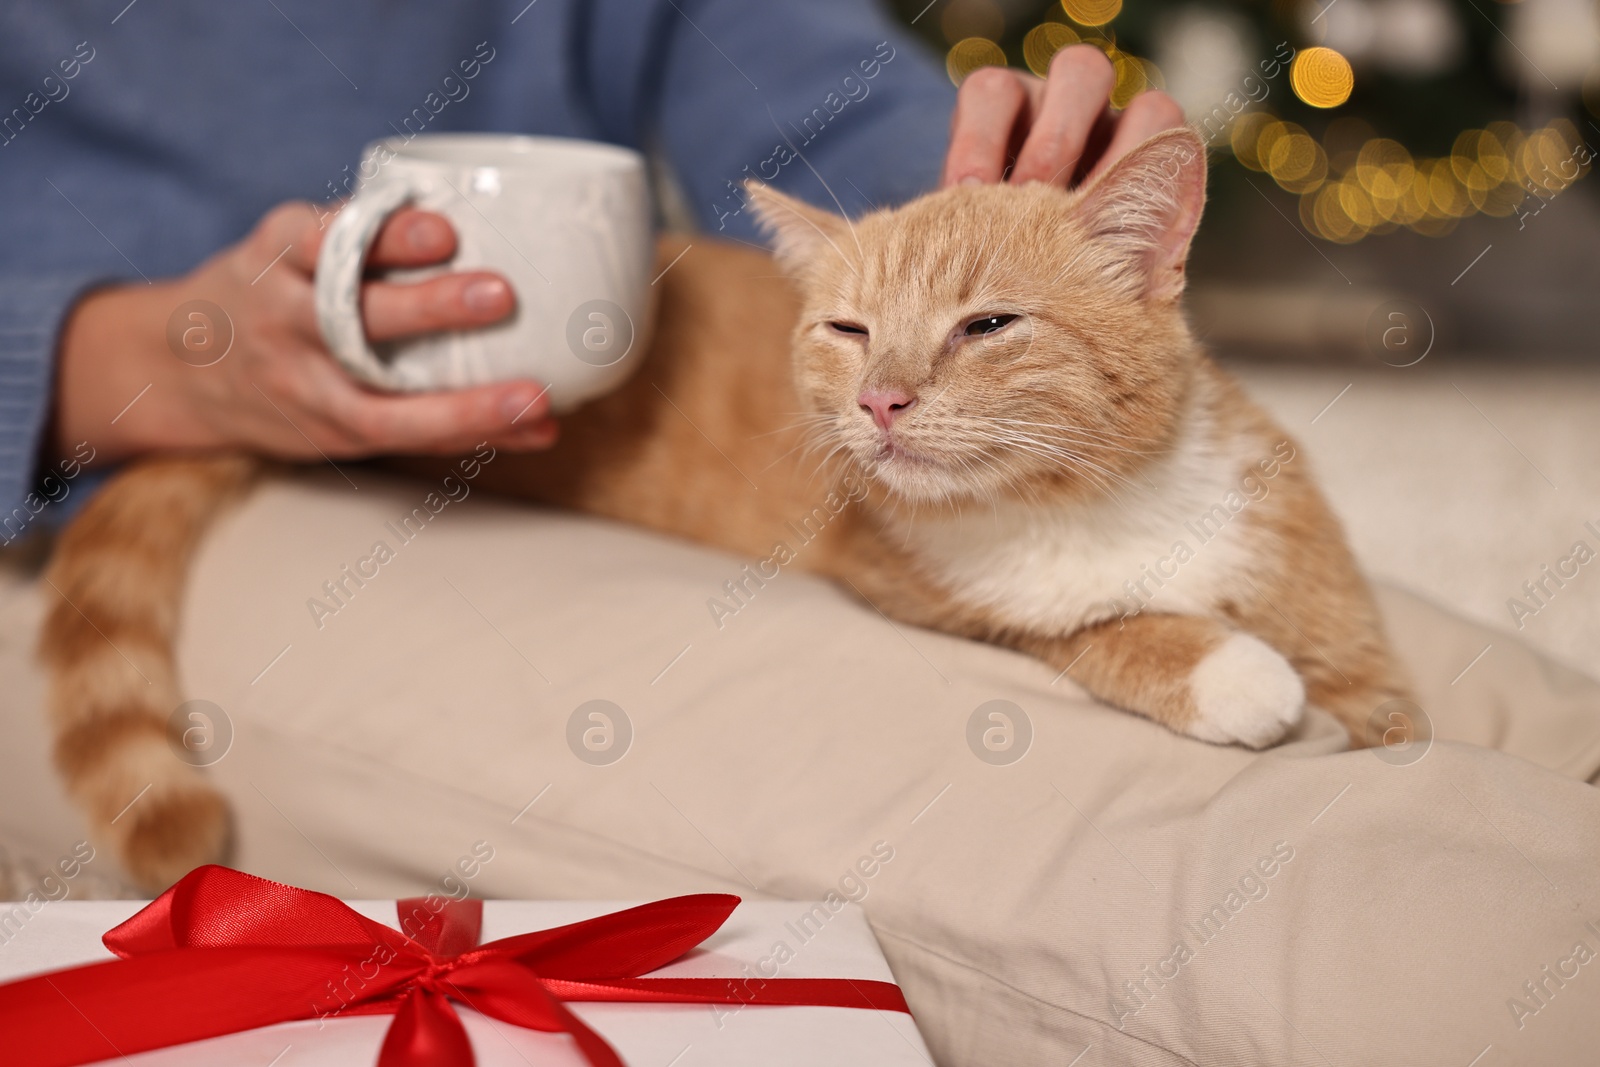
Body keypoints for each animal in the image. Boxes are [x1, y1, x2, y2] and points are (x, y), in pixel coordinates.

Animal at [40, 129, 1414, 889]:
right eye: (849, 330)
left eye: (986, 326)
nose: (881, 399)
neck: (1090, 500)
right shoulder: (915, 585)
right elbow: (1083, 626)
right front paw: (1228, 670)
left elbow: (1388, 712)